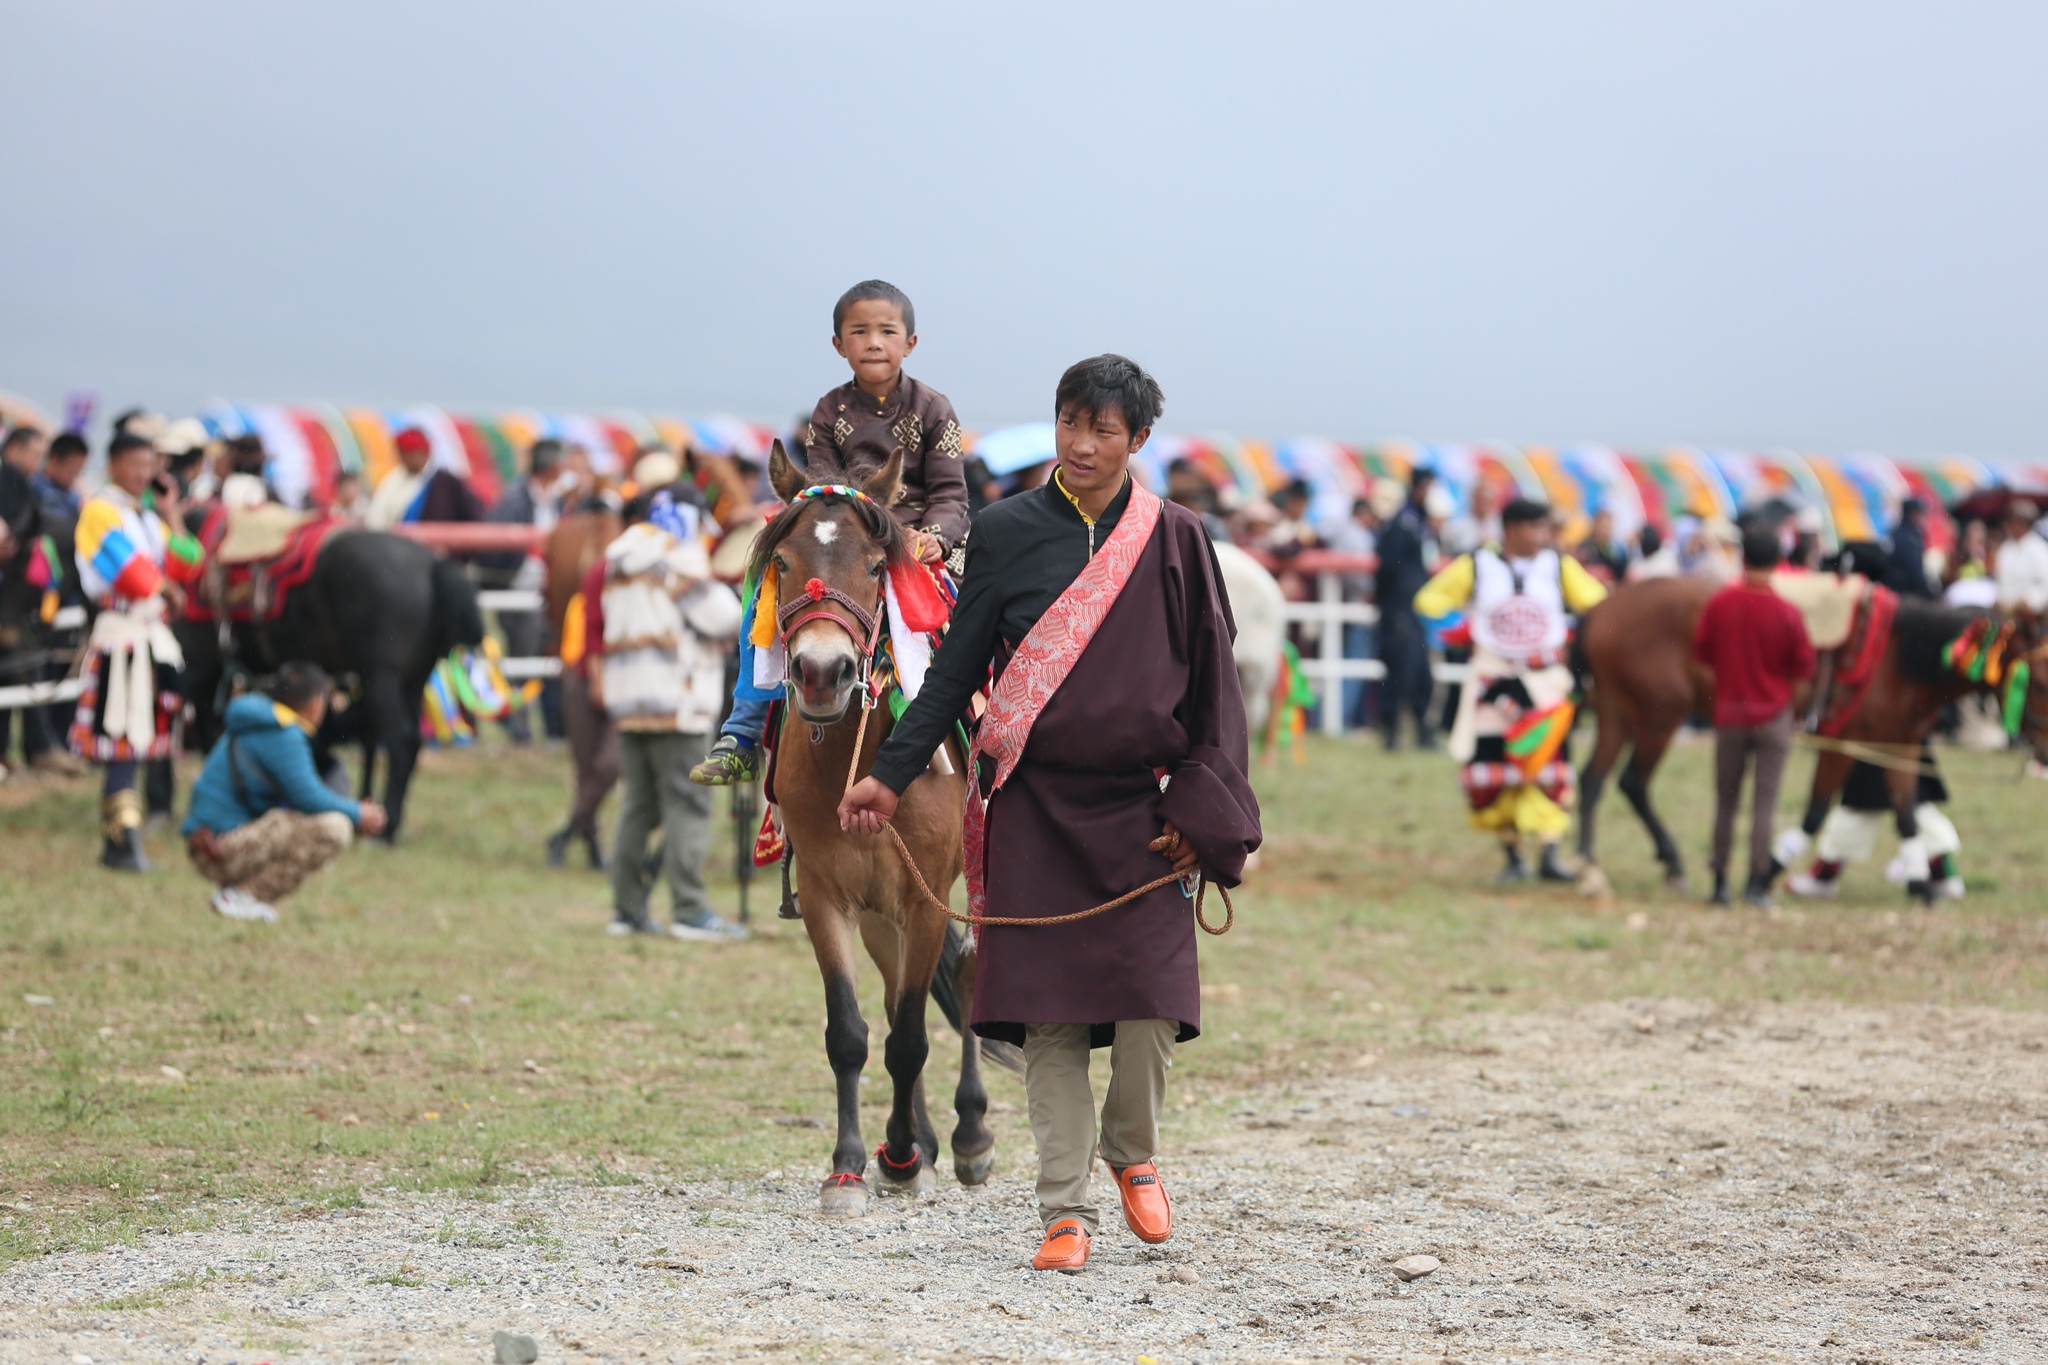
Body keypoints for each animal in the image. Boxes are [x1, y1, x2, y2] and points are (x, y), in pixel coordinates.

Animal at [179, 527, 483, 839]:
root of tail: (433, 564)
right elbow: (363, 739)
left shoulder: (200, 666)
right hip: (409, 681)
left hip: (384, 679)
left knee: (401, 741)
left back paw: (386, 829)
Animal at [757, 437, 1003, 1219]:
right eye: (783, 562)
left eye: (873, 567)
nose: (822, 671)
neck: (860, 759)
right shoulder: (830, 897)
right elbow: (854, 1033)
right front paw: (851, 1166)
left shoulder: (924, 899)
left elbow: (909, 1037)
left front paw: (897, 1157)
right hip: (877, 915)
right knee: (902, 995)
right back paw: (922, 1138)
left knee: (965, 980)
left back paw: (967, 1135)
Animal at [1572, 581, 2039, 908]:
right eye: (2039, 680)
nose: (2042, 753)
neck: (1897, 659)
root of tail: (1602, 608)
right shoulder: (1843, 744)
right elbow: (1816, 812)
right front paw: (1766, 872)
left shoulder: (1898, 745)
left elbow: (1906, 815)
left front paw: (1921, 882)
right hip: (1658, 715)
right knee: (1632, 782)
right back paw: (1658, 862)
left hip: (1616, 712)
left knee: (1593, 781)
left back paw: (1592, 866)